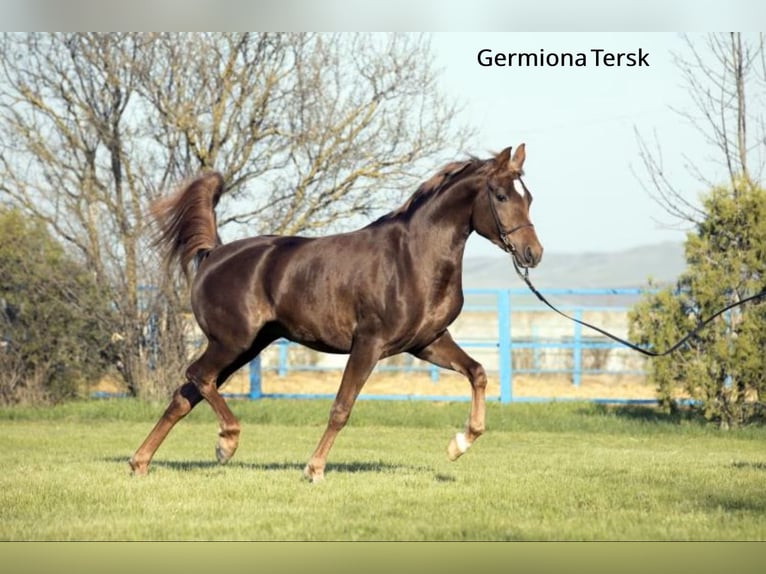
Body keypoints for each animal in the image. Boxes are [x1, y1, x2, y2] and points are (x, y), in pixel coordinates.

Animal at [129, 144, 543, 482]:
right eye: (501, 195)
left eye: (529, 197)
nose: (532, 253)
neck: (413, 258)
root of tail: (214, 254)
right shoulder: (369, 344)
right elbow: (341, 407)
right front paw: (314, 469)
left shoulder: (428, 343)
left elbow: (478, 373)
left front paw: (459, 444)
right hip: (231, 343)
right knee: (198, 376)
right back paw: (225, 443)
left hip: (245, 348)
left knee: (186, 394)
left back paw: (140, 462)